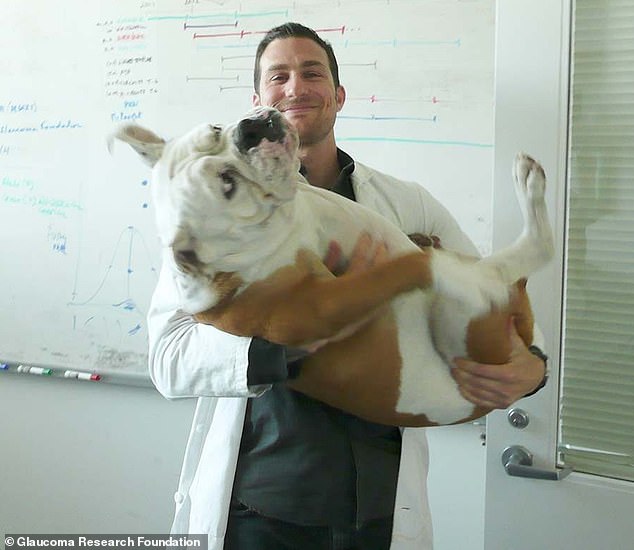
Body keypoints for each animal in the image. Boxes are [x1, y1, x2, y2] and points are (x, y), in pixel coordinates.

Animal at [112, 106, 548, 426]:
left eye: (217, 130)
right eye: (227, 183)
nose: (250, 129)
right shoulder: (319, 307)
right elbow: (402, 269)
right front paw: (438, 267)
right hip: (472, 334)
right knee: (531, 253)